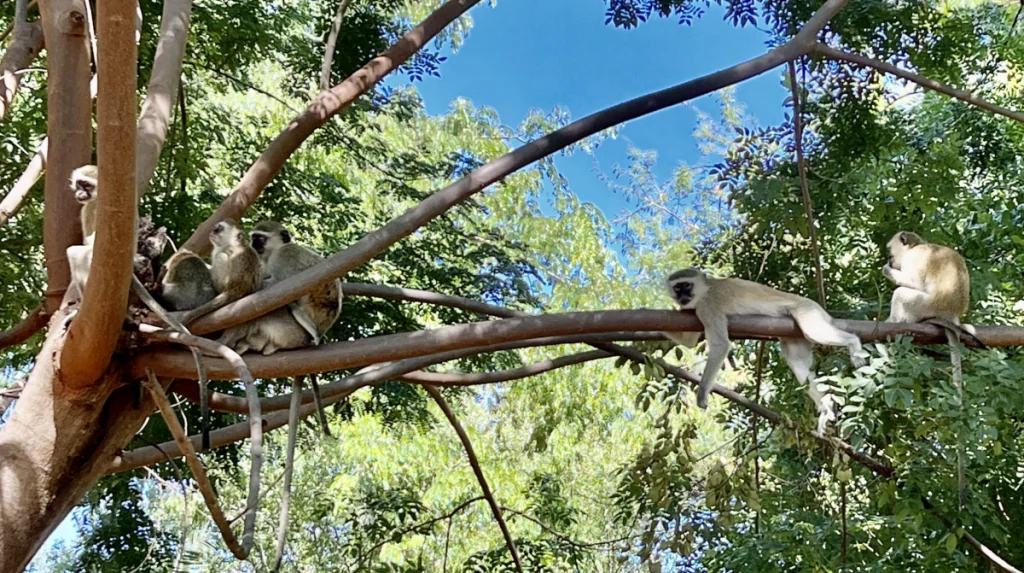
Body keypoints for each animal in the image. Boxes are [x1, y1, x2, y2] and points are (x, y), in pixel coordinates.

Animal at [663, 268, 864, 429]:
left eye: (686, 285)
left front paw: (702, 394)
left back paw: (853, 343)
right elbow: (689, 341)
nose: (682, 297)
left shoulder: (708, 307)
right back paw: (825, 408)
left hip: (808, 312)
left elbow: (720, 345)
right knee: (798, 362)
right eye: (677, 288)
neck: (705, 291)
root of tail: (820, 309)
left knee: (814, 332)